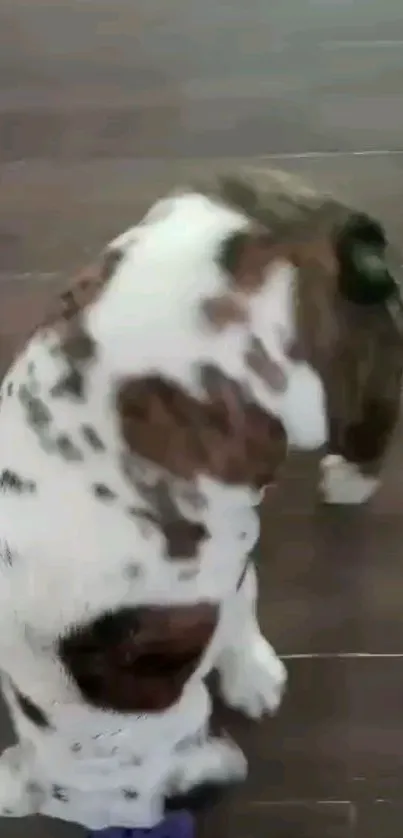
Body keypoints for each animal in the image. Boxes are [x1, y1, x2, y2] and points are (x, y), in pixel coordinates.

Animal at [0, 171, 400, 832]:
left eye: (179, 802)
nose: (215, 790)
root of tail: (272, 218)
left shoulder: (217, 574)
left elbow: (239, 616)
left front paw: (252, 676)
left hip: (336, 372)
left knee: (368, 419)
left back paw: (351, 478)